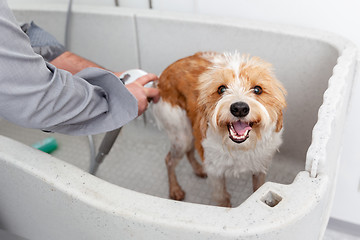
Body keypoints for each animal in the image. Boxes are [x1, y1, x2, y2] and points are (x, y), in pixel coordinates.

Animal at [152, 51, 286, 207]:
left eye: (258, 89)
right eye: (221, 89)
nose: (239, 108)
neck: (239, 147)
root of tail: (161, 77)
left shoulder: (260, 167)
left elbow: (258, 189)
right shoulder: (216, 173)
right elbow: (222, 198)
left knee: (190, 151)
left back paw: (199, 169)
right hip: (181, 135)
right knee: (169, 159)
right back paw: (175, 189)